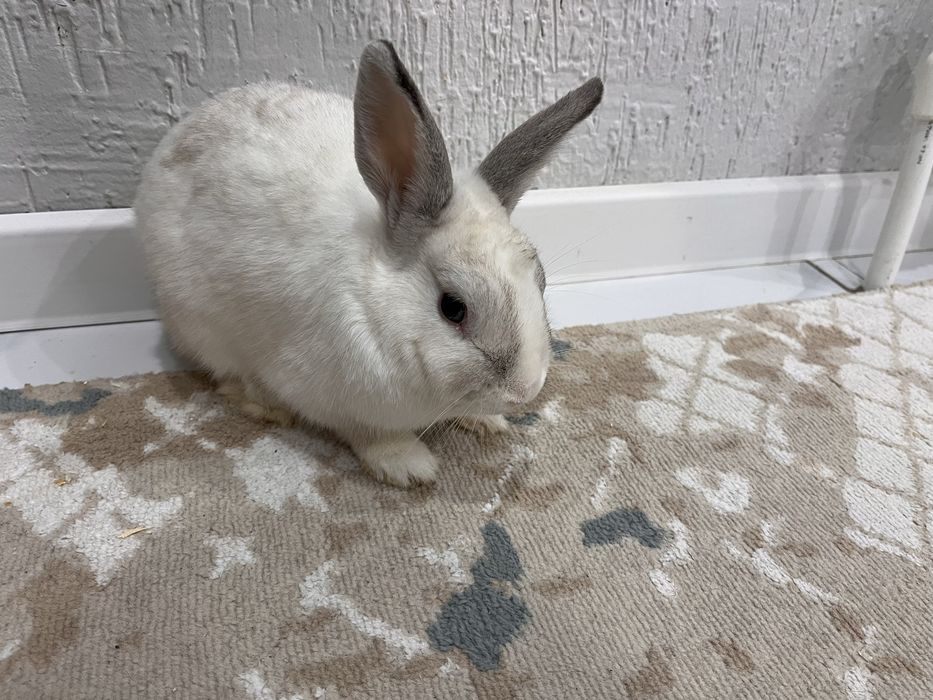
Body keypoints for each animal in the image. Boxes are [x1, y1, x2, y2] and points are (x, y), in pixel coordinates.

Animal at [134, 40, 603, 487]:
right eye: (453, 308)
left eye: (541, 282)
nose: (525, 391)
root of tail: (178, 132)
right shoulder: (325, 395)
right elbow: (371, 434)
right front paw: (409, 467)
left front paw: (489, 421)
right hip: (201, 325)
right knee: (228, 376)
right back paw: (268, 406)